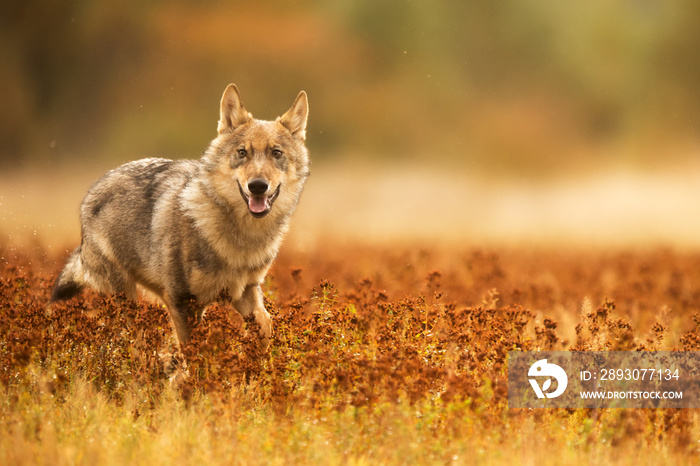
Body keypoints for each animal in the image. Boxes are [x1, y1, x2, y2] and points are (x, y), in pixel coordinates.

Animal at [48, 83, 308, 356]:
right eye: (242, 153)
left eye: (276, 153)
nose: (257, 186)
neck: (243, 239)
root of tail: (91, 192)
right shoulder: (183, 301)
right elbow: (194, 354)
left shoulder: (244, 292)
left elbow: (266, 325)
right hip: (126, 301)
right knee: (130, 343)